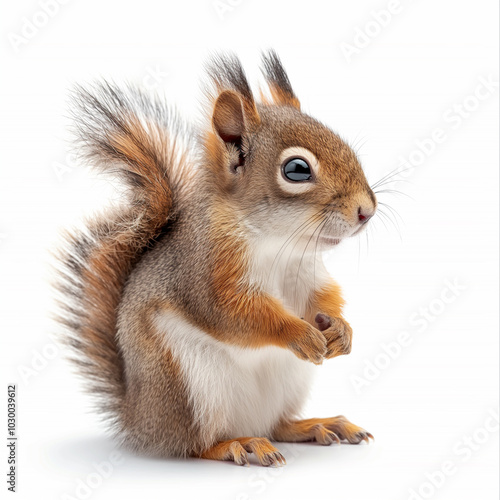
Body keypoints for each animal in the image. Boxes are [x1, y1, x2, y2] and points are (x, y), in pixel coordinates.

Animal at [54, 50, 376, 464]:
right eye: (297, 169)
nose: (367, 211)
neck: (278, 243)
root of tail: (139, 419)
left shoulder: (308, 273)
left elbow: (322, 296)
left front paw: (342, 330)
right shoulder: (205, 270)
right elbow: (232, 313)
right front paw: (297, 332)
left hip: (288, 381)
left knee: (278, 425)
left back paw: (318, 425)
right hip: (193, 388)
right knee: (197, 444)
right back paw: (239, 444)